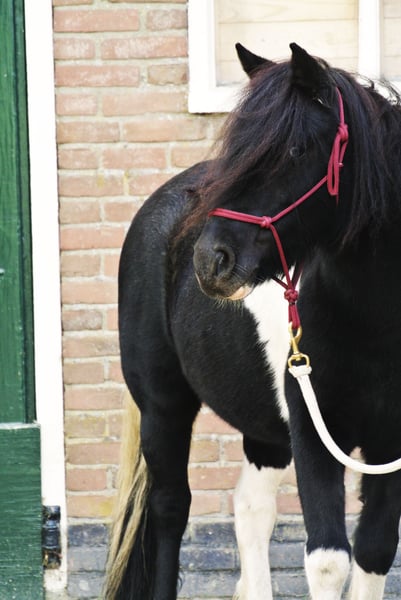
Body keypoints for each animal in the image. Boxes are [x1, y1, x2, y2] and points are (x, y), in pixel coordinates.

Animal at [104, 42, 401, 599]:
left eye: (296, 151)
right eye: (236, 150)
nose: (209, 261)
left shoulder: (389, 441)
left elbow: (373, 551)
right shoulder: (312, 430)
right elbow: (328, 561)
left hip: (265, 429)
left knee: (251, 511)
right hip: (163, 406)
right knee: (171, 510)